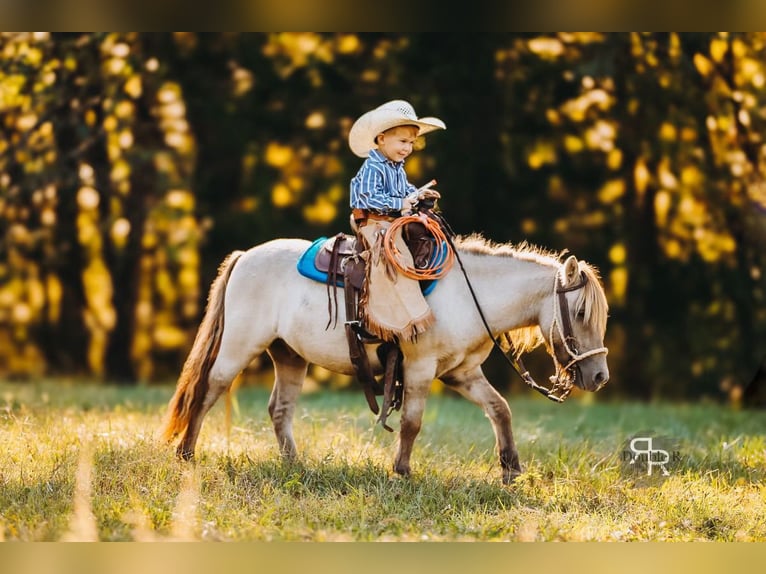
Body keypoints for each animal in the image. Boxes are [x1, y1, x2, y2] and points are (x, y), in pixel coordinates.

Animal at [161, 233, 609, 484]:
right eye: (581, 313)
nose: (600, 377)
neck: (469, 296)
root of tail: (244, 256)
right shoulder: (420, 368)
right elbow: (411, 422)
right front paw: (403, 471)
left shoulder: (463, 372)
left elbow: (500, 409)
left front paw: (511, 470)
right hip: (240, 344)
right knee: (208, 389)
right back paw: (186, 454)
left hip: (288, 355)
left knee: (279, 409)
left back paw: (294, 466)